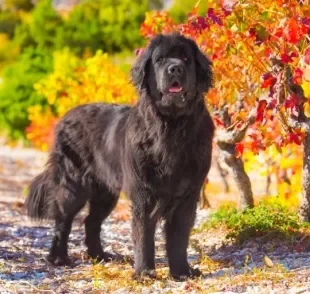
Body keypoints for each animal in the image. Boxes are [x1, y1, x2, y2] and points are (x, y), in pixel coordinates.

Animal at [25, 32, 214, 280]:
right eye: (160, 59)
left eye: (185, 58)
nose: (175, 69)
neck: (171, 127)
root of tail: (66, 117)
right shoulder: (144, 193)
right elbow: (143, 235)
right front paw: (144, 272)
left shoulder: (187, 194)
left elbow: (179, 237)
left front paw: (182, 272)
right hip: (73, 184)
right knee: (63, 220)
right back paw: (58, 258)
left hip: (106, 191)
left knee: (91, 221)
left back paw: (99, 256)